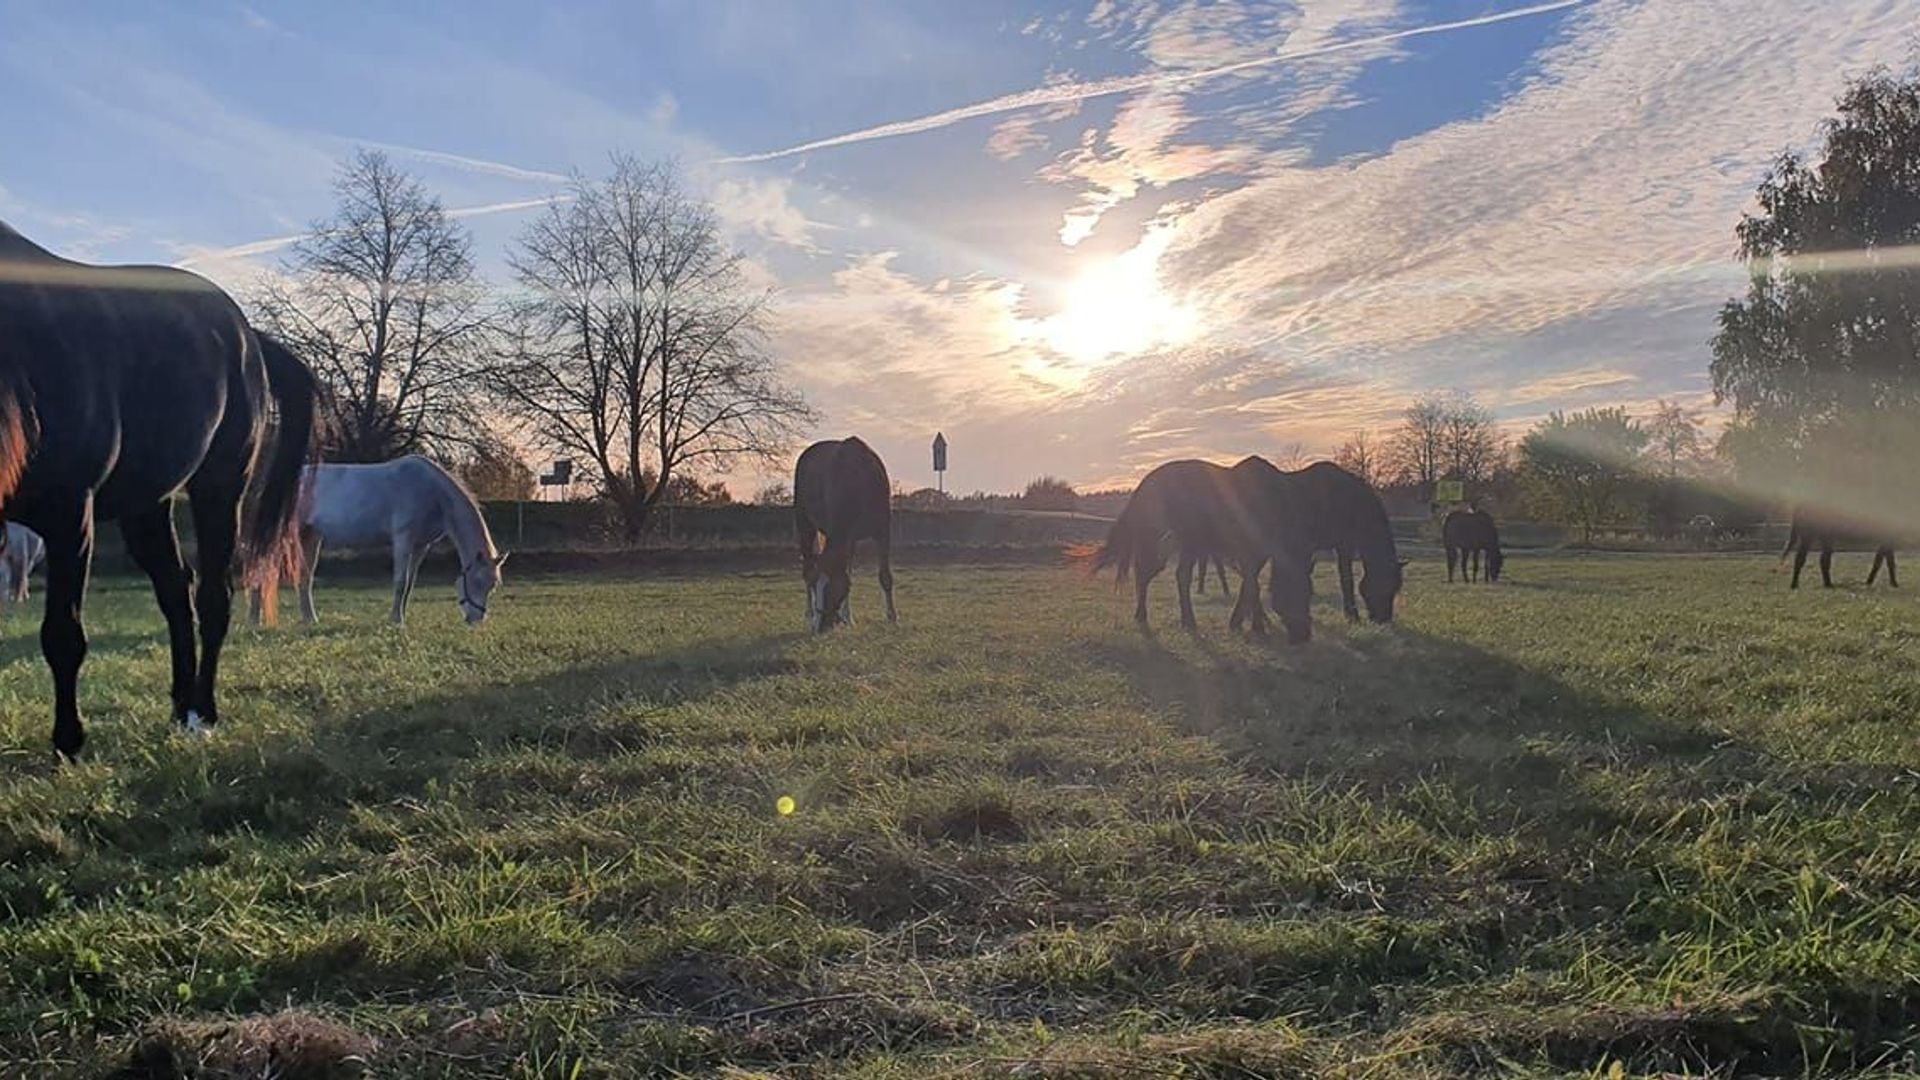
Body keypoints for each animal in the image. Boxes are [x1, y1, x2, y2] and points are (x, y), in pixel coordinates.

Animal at [251, 451, 506, 622]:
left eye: (492, 585)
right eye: (476, 581)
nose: (475, 620)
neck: (432, 492)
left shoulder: (421, 546)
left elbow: (410, 583)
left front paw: (401, 616)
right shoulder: (403, 539)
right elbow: (400, 582)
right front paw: (396, 620)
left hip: (310, 538)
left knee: (304, 578)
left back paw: (309, 620)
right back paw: (255, 622)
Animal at [791, 432, 894, 626]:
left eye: (830, 589)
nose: (819, 627)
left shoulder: (882, 532)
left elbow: (883, 576)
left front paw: (892, 615)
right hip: (804, 525)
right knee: (807, 566)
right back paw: (809, 612)